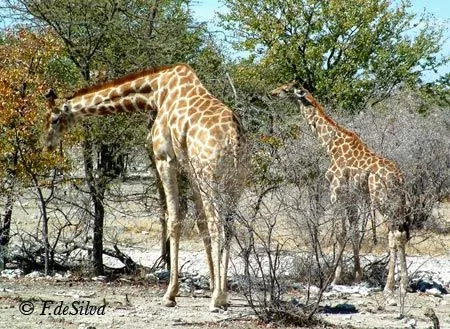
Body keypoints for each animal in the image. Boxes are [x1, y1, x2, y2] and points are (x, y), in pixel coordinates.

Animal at [44, 62, 246, 308]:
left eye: (53, 119)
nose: (47, 144)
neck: (156, 92)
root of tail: (234, 139)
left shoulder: (165, 159)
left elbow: (174, 218)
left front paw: (170, 294)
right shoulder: (189, 169)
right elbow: (200, 224)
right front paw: (210, 284)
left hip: (211, 177)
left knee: (218, 224)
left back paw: (218, 298)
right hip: (234, 182)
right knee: (228, 226)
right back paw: (222, 295)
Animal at [268, 80, 410, 290]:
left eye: (286, 89)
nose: (272, 93)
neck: (331, 146)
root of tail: (398, 177)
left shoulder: (336, 191)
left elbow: (340, 233)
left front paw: (336, 278)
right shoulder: (351, 196)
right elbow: (354, 231)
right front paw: (357, 275)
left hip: (382, 200)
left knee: (393, 235)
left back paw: (389, 285)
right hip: (397, 202)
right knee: (401, 234)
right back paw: (404, 284)